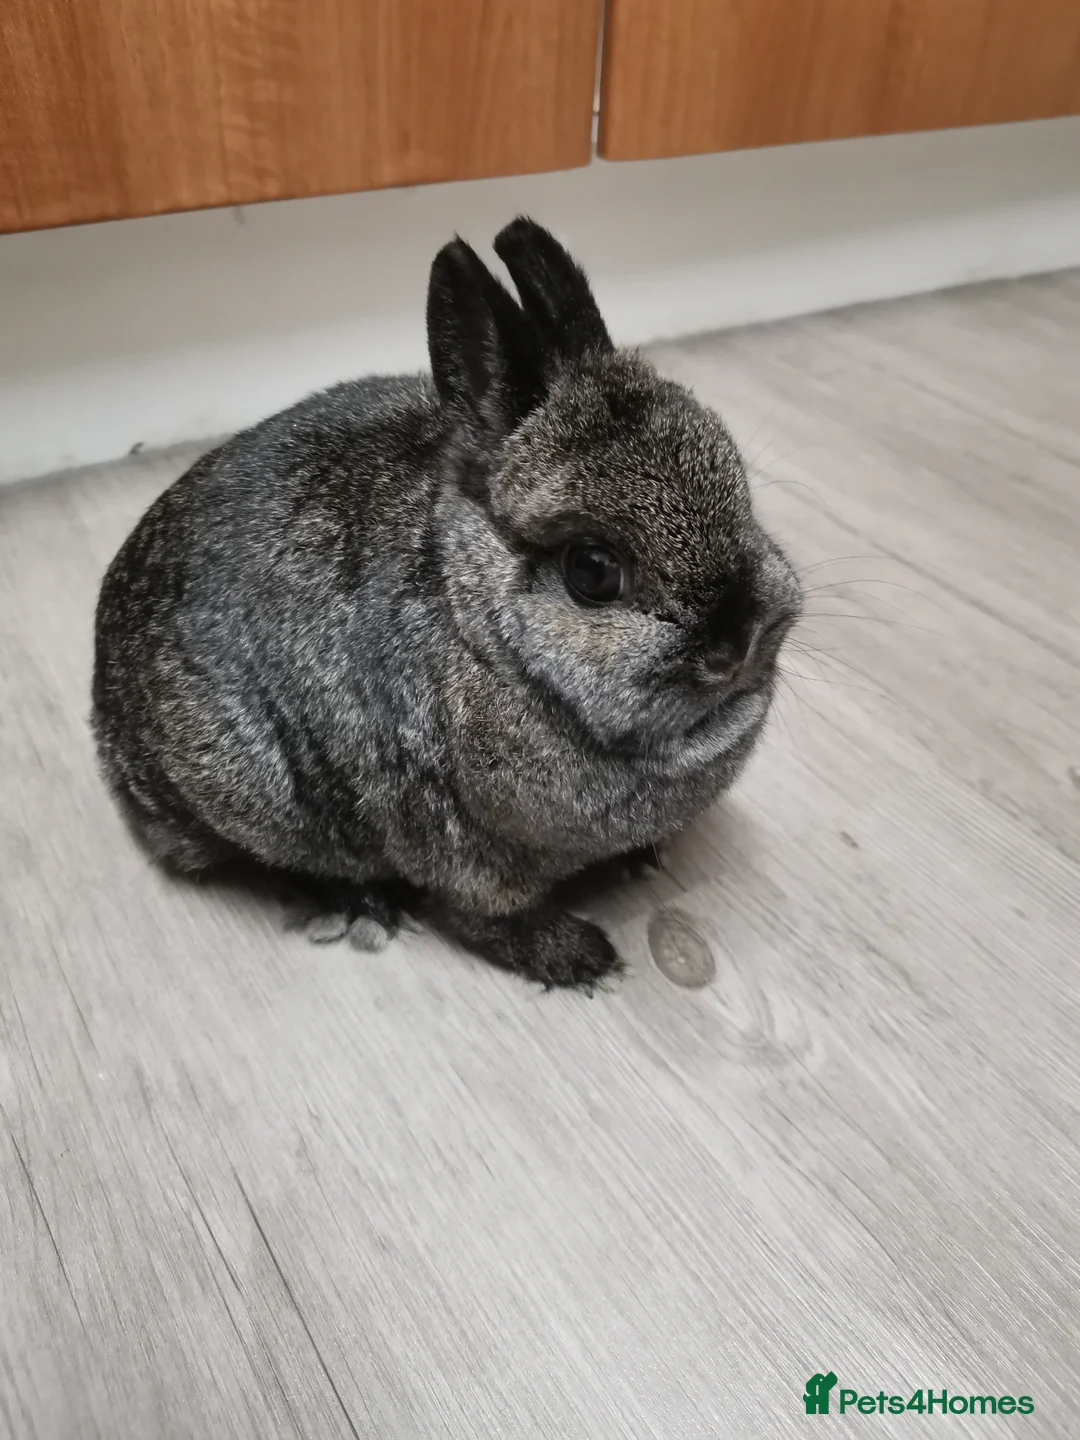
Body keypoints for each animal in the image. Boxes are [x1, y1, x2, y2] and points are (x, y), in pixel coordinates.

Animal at [92, 217, 801, 990]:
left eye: (740, 492)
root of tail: (107, 719)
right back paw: (357, 905)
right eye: (592, 570)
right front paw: (578, 958)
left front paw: (640, 860)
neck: (483, 634)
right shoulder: (455, 842)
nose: (739, 640)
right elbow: (489, 915)